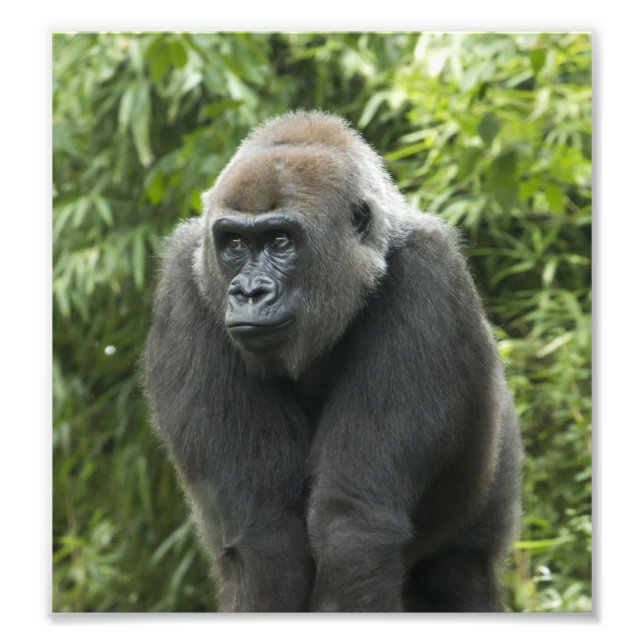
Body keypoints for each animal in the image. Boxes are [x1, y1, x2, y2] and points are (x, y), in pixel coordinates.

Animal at [143, 110, 523, 612]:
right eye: (234, 244)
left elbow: (352, 530)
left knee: (459, 571)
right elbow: (267, 538)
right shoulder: (185, 287)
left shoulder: (429, 274)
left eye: (280, 240)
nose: (249, 292)